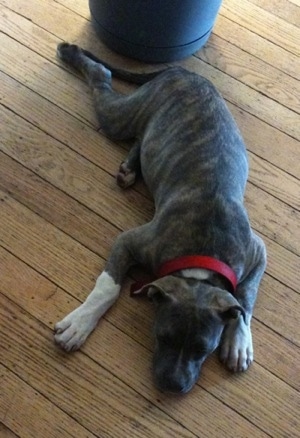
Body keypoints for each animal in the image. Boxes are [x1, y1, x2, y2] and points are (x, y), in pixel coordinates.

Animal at [54, 42, 268, 396]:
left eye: (204, 348)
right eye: (162, 336)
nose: (172, 386)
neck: (200, 264)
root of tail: (184, 72)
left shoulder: (258, 252)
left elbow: (245, 299)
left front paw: (238, 343)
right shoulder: (129, 241)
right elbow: (107, 288)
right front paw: (80, 323)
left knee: (144, 138)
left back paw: (130, 168)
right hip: (122, 115)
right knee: (102, 76)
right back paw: (72, 54)